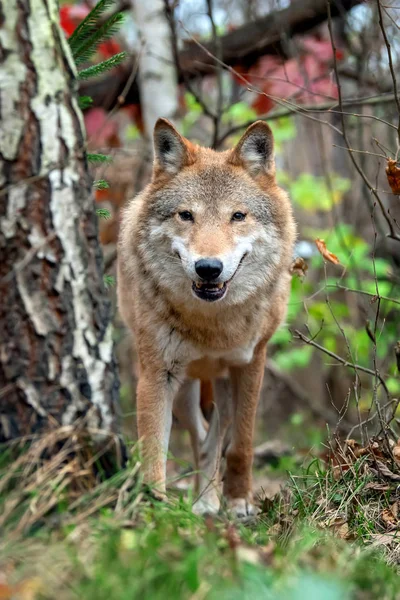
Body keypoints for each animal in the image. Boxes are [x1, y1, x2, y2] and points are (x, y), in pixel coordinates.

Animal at [117, 118, 296, 516]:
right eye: (186, 215)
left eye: (238, 216)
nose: (209, 268)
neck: (213, 325)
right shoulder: (157, 373)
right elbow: (154, 450)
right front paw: (153, 507)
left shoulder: (251, 363)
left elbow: (242, 444)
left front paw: (239, 499)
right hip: (185, 390)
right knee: (200, 437)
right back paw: (203, 501)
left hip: (223, 386)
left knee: (214, 439)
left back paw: (209, 500)